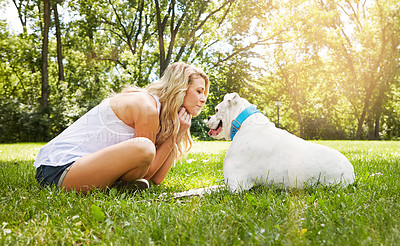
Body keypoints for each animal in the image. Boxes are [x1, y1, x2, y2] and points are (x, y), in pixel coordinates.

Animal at [208, 93, 354, 191]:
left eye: (216, 110)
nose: (208, 117)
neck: (244, 123)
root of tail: (351, 172)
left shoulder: (235, 185)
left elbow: (208, 189)